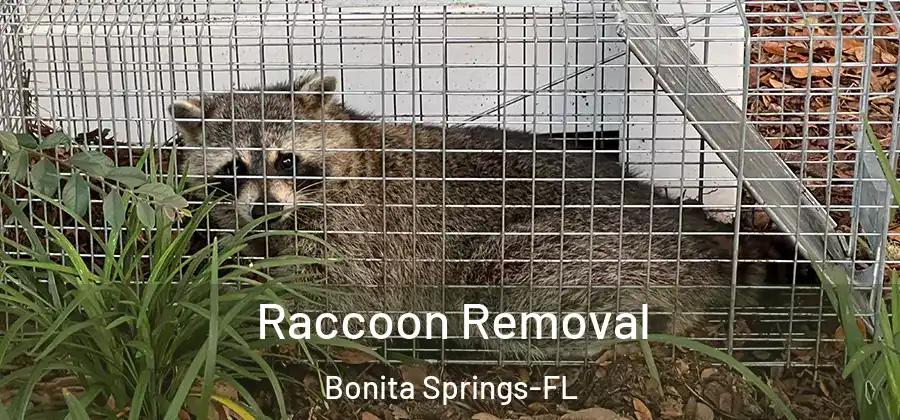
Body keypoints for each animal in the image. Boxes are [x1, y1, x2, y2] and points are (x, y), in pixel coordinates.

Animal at [167, 73, 808, 360]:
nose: (265, 207)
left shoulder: (364, 234)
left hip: (578, 248)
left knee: (509, 285)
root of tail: (695, 239)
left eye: (286, 159)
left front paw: (255, 309)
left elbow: (341, 295)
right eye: (234, 168)